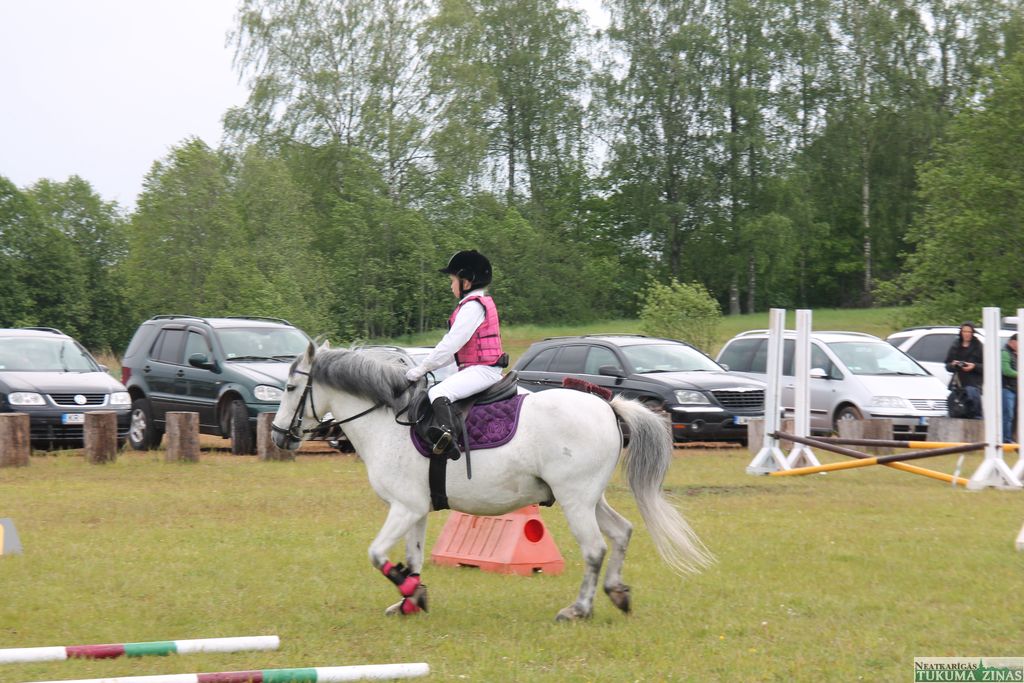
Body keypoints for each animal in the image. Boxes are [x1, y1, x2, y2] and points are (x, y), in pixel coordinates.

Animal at [271, 343, 712, 622]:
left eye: (291, 387)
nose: (278, 437)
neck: (388, 421)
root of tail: (608, 406)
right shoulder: (415, 509)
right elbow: (413, 556)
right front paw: (411, 600)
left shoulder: (404, 507)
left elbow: (378, 555)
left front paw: (409, 591)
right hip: (589, 497)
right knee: (621, 533)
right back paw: (617, 594)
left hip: (575, 500)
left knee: (594, 549)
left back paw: (578, 609)